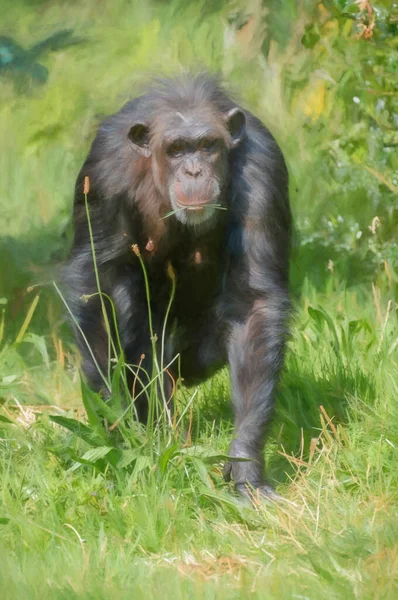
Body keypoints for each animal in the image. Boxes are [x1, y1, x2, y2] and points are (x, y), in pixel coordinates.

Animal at [63, 72, 292, 500]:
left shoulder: (262, 168)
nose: (194, 172)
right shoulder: (104, 171)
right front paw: (117, 424)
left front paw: (245, 461)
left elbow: (252, 302)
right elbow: (99, 282)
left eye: (207, 146)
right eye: (176, 149)